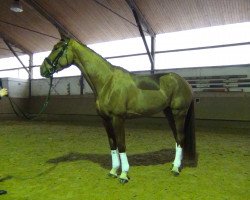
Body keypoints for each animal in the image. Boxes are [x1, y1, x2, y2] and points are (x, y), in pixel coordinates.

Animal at [40, 35, 197, 183]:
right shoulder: (105, 119)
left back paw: (176, 169)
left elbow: (121, 145)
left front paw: (124, 175)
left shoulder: (118, 118)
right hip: (169, 113)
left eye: (56, 48)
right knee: (177, 138)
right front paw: (113, 171)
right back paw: (174, 165)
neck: (107, 82)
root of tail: (184, 82)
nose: (42, 70)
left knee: (181, 137)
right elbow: (112, 144)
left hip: (179, 113)